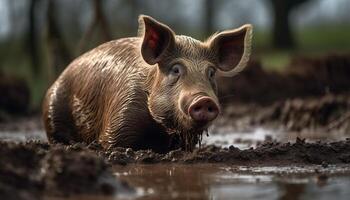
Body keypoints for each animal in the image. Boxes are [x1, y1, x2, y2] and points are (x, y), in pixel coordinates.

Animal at [42, 15, 253, 152]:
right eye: (176, 70)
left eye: (211, 72)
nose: (204, 99)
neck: (161, 131)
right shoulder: (118, 123)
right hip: (54, 113)